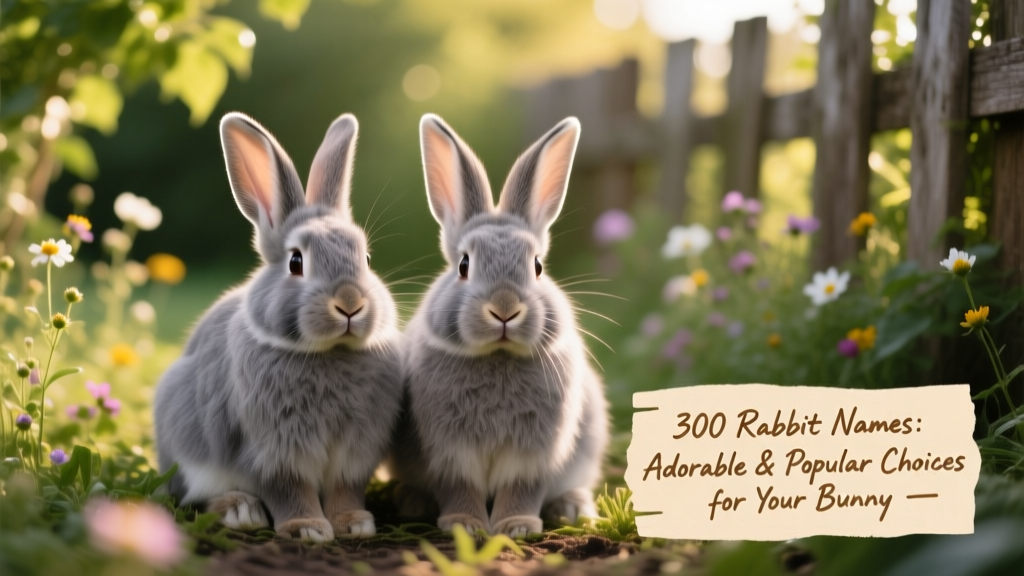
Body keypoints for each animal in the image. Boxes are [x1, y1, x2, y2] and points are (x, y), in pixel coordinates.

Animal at [154, 112, 403, 542]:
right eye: (296, 262)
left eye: (367, 259)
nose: (350, 303)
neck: (327, 353)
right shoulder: (271, 452)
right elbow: (289, 490)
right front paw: (308, 529)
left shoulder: (353, 454)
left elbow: (345, 490)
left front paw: (354, 524)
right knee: (195, 497)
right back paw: (241, 511)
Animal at [390, 114, 609, 537]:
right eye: (463, 265)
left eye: (537, 266)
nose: (504, 308)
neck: (498, 356)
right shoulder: (449, 452)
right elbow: (459, 488)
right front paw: (466, 525)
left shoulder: (535, 453)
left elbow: (521, 488)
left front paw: (516, 527)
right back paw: (411, 502)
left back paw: (572, 508)